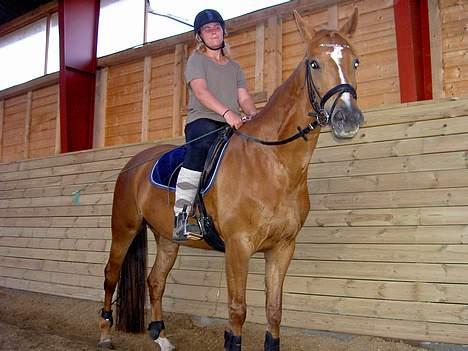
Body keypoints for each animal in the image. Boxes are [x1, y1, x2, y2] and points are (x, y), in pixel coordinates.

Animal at [97, 8, 364, 351]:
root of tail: (133, 165)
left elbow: (274, 310)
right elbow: (238, 311)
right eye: (314, 63)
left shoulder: (282, 248)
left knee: (155, 281)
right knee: (110, 275)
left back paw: (162, 337)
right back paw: (104, 334)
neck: (272, 164)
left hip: (168, 238)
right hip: (124, 229)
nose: (348, 118)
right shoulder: (238, 247)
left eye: (355, 62)